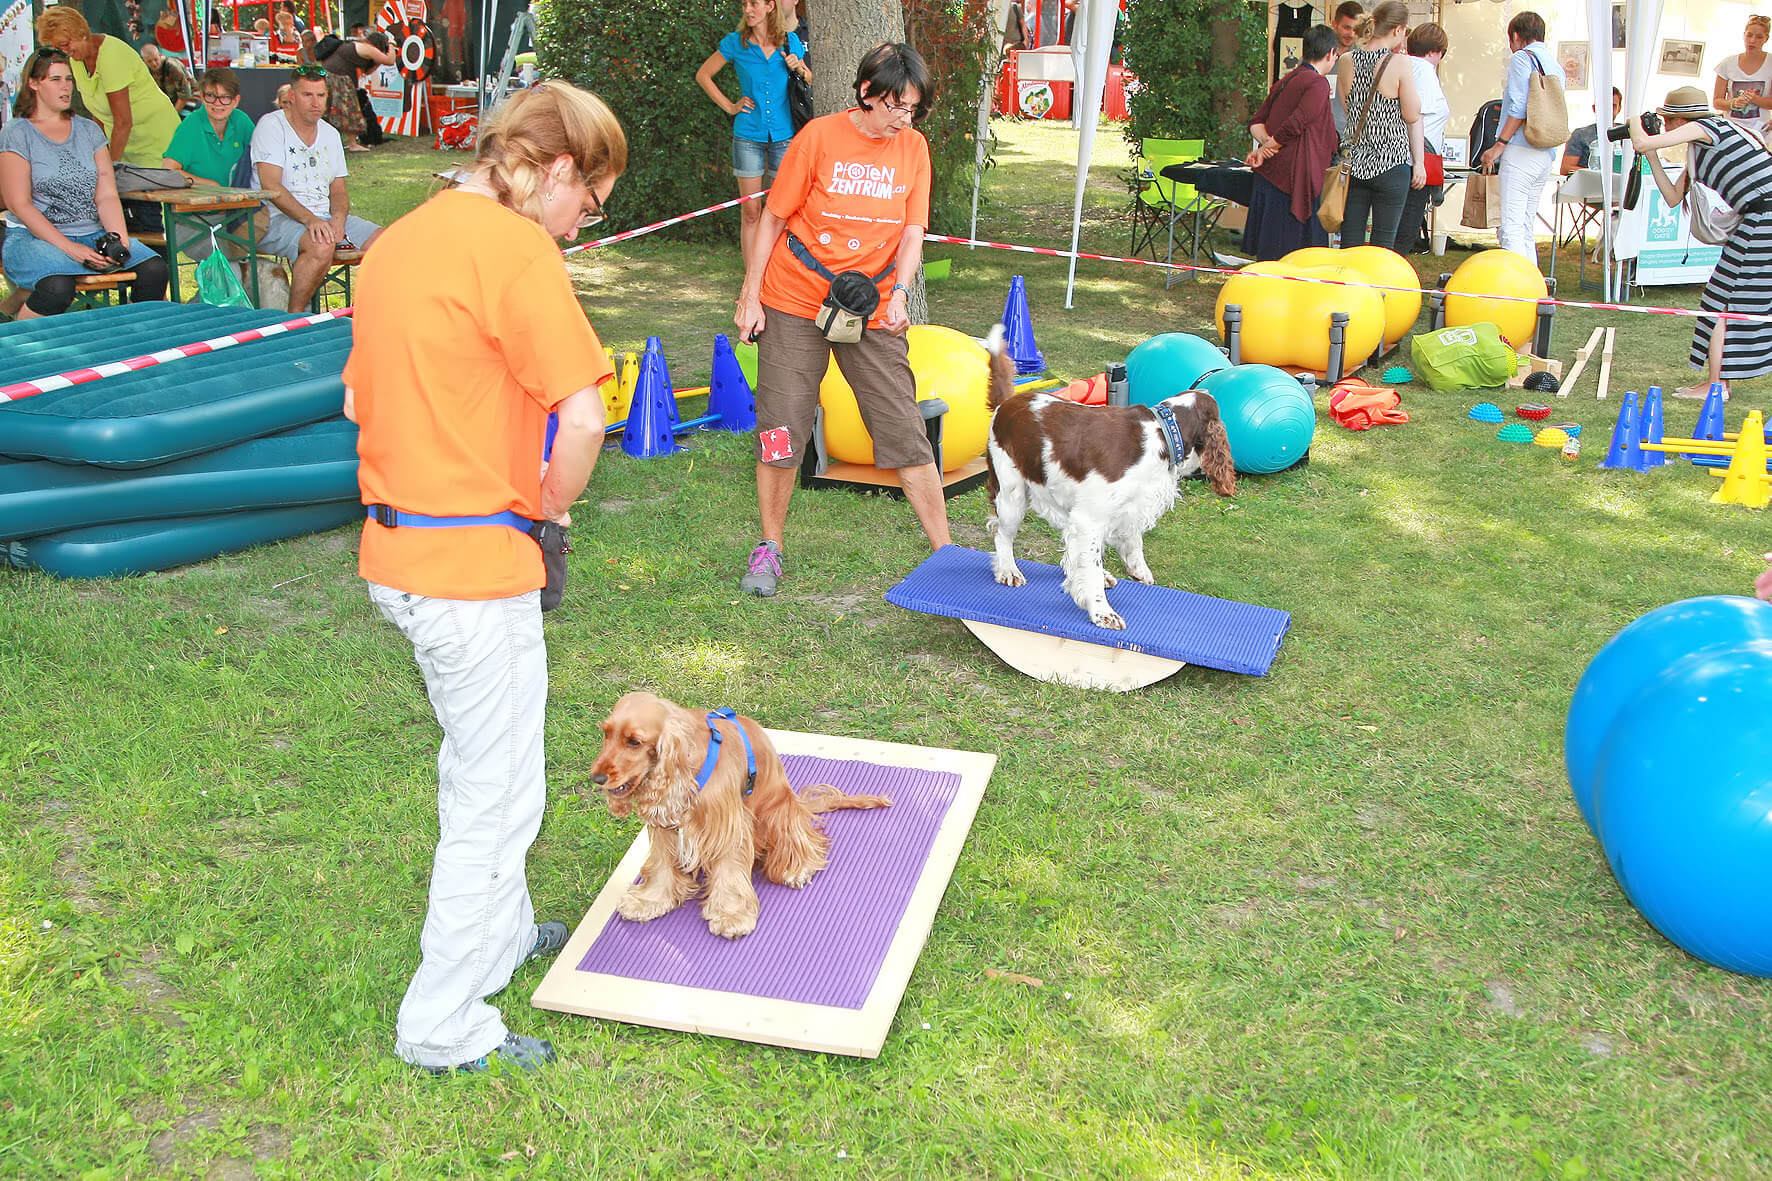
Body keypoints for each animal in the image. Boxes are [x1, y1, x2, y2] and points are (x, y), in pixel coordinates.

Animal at [589, 692, 891, 939]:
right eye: (606, 734)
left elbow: (729, 871)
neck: (689, 766)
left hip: (776, 812)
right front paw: (649, 901)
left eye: (634, 742)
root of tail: (798, 802)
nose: (597, 778)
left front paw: (731, 915)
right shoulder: (666, 825)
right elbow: (662, 864)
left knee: (802, 839)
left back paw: (797, 868)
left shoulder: (729, 825)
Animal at [983, 324, 1237, 630]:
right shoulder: (1091, 516)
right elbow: (1092, 563)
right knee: (1002, 533)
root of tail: (1007, 403)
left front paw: (1137, 570)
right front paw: (1102, 611)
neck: (1164, 430)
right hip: (1013, 495)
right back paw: (1008, 570)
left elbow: (1129, 543)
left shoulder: (1124, 508)